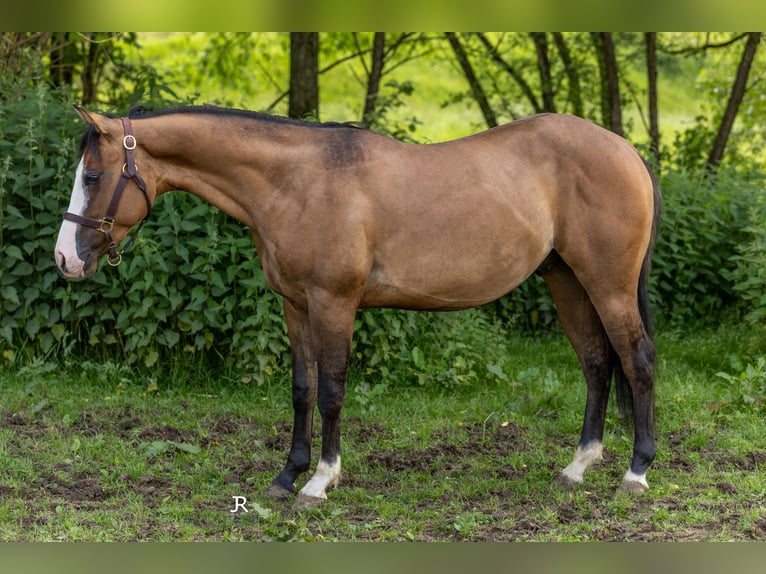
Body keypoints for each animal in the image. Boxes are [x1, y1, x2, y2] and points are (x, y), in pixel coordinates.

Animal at [57, 106, 664, 510]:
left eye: (92, 176)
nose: (65, 259)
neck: (296, 184)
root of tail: (626, 150)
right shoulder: (295, 306)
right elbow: (302, 389)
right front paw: (287, 475)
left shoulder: (334, 303)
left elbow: (331, 391)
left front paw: (320, 481)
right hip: (568, 282)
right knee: (597, 364)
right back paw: (577, 467)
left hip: (608, 286)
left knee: (637, 362)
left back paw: (635, 472)